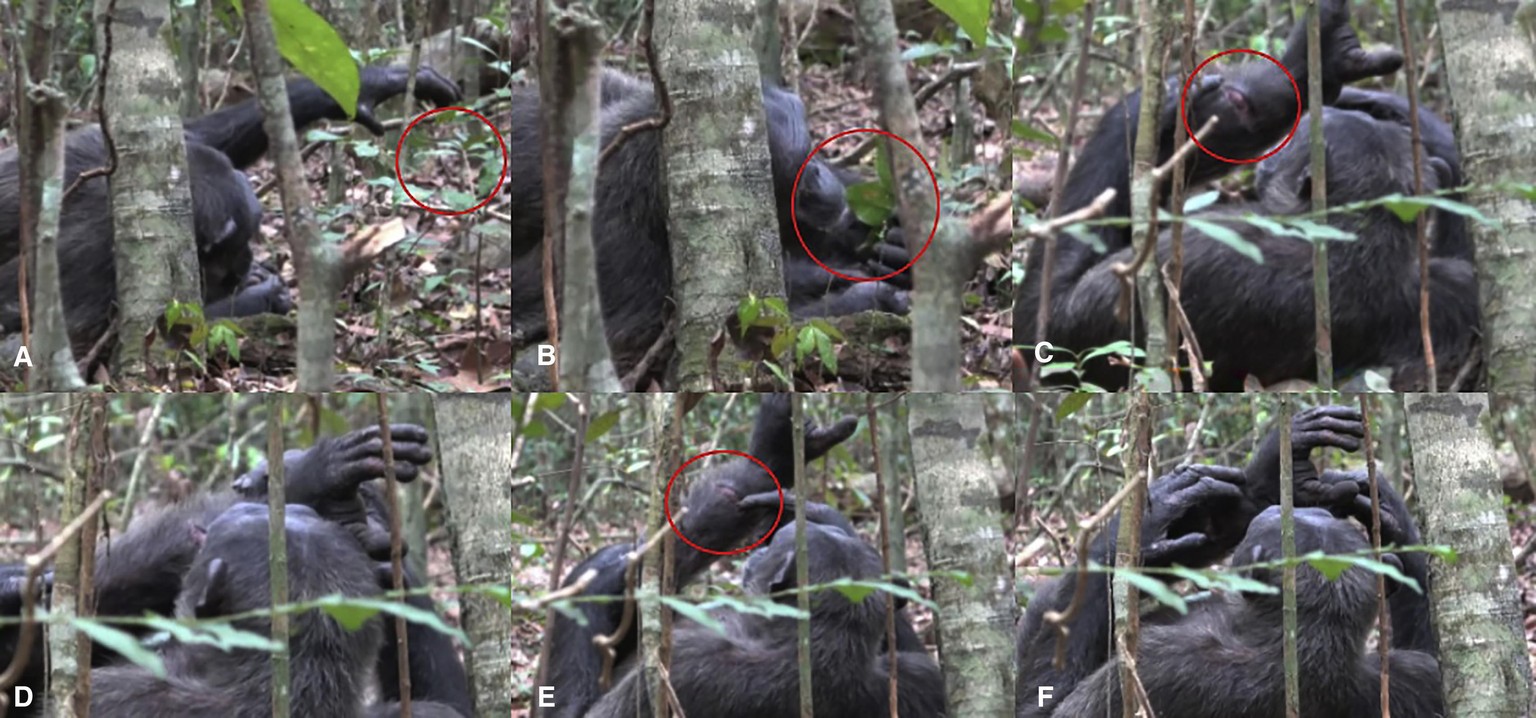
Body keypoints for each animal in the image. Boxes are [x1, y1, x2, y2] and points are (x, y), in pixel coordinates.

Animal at [0, 66, 460, 358]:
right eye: (239, 242)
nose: (248, 259)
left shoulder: (112, 147)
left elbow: (207, 131)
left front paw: (373, 83)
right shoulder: (89, 263)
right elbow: (87, 340)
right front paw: (262, 293)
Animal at [509, 72, 909, 376]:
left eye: (810, 149)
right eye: (788, 181)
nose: (815, 176)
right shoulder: (619, 225)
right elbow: (641, 339)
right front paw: (869, 296)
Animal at [1019, 408, 1437, 716]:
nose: (1274, 510)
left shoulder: (1158, 664)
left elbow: (1042, 708)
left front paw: (1150, 522)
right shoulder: (1410, 680)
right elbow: (1439, 661)